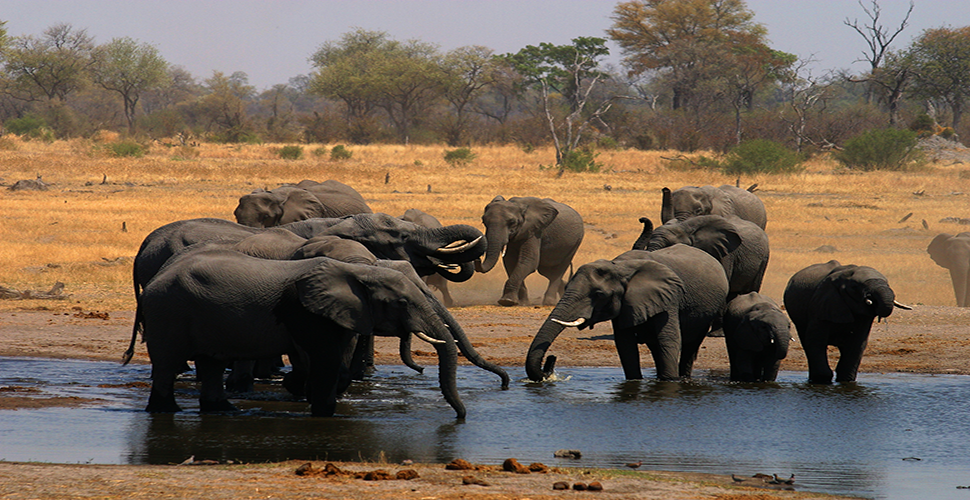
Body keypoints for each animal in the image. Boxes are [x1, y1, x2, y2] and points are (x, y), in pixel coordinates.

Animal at [136, 249, 466, 418]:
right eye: (401, 302)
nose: (461, 417)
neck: (358, 271)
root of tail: (155, 279)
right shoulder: (305, 310)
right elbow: (326, 359)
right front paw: (323, 412)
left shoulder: (340, 312)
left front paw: (305, 392)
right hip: (168, 312)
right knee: (166, 364)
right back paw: (167, 411)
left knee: (211, 363)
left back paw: (224, 409)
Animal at [525, 244, 729, 382]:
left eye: (599, 294)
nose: (551, 359)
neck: (620, 267)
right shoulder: (624, 304)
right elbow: (625, 345)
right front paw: (635, 382)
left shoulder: (670, 297)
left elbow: (669, 339)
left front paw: (669, 382)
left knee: (689, 346)